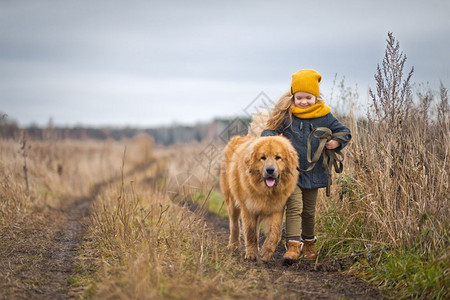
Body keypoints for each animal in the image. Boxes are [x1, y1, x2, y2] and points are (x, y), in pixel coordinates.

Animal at [219, 126, 298, 260]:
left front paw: (266, 252)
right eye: (263, 157)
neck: (267, 192)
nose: (270, 170)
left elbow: (275, 233)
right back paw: (233, 246)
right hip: (231, 201)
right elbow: (249, 232)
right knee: (234, 224)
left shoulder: (277, 208)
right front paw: (251, 254)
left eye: (278, 157)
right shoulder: (248, 208)